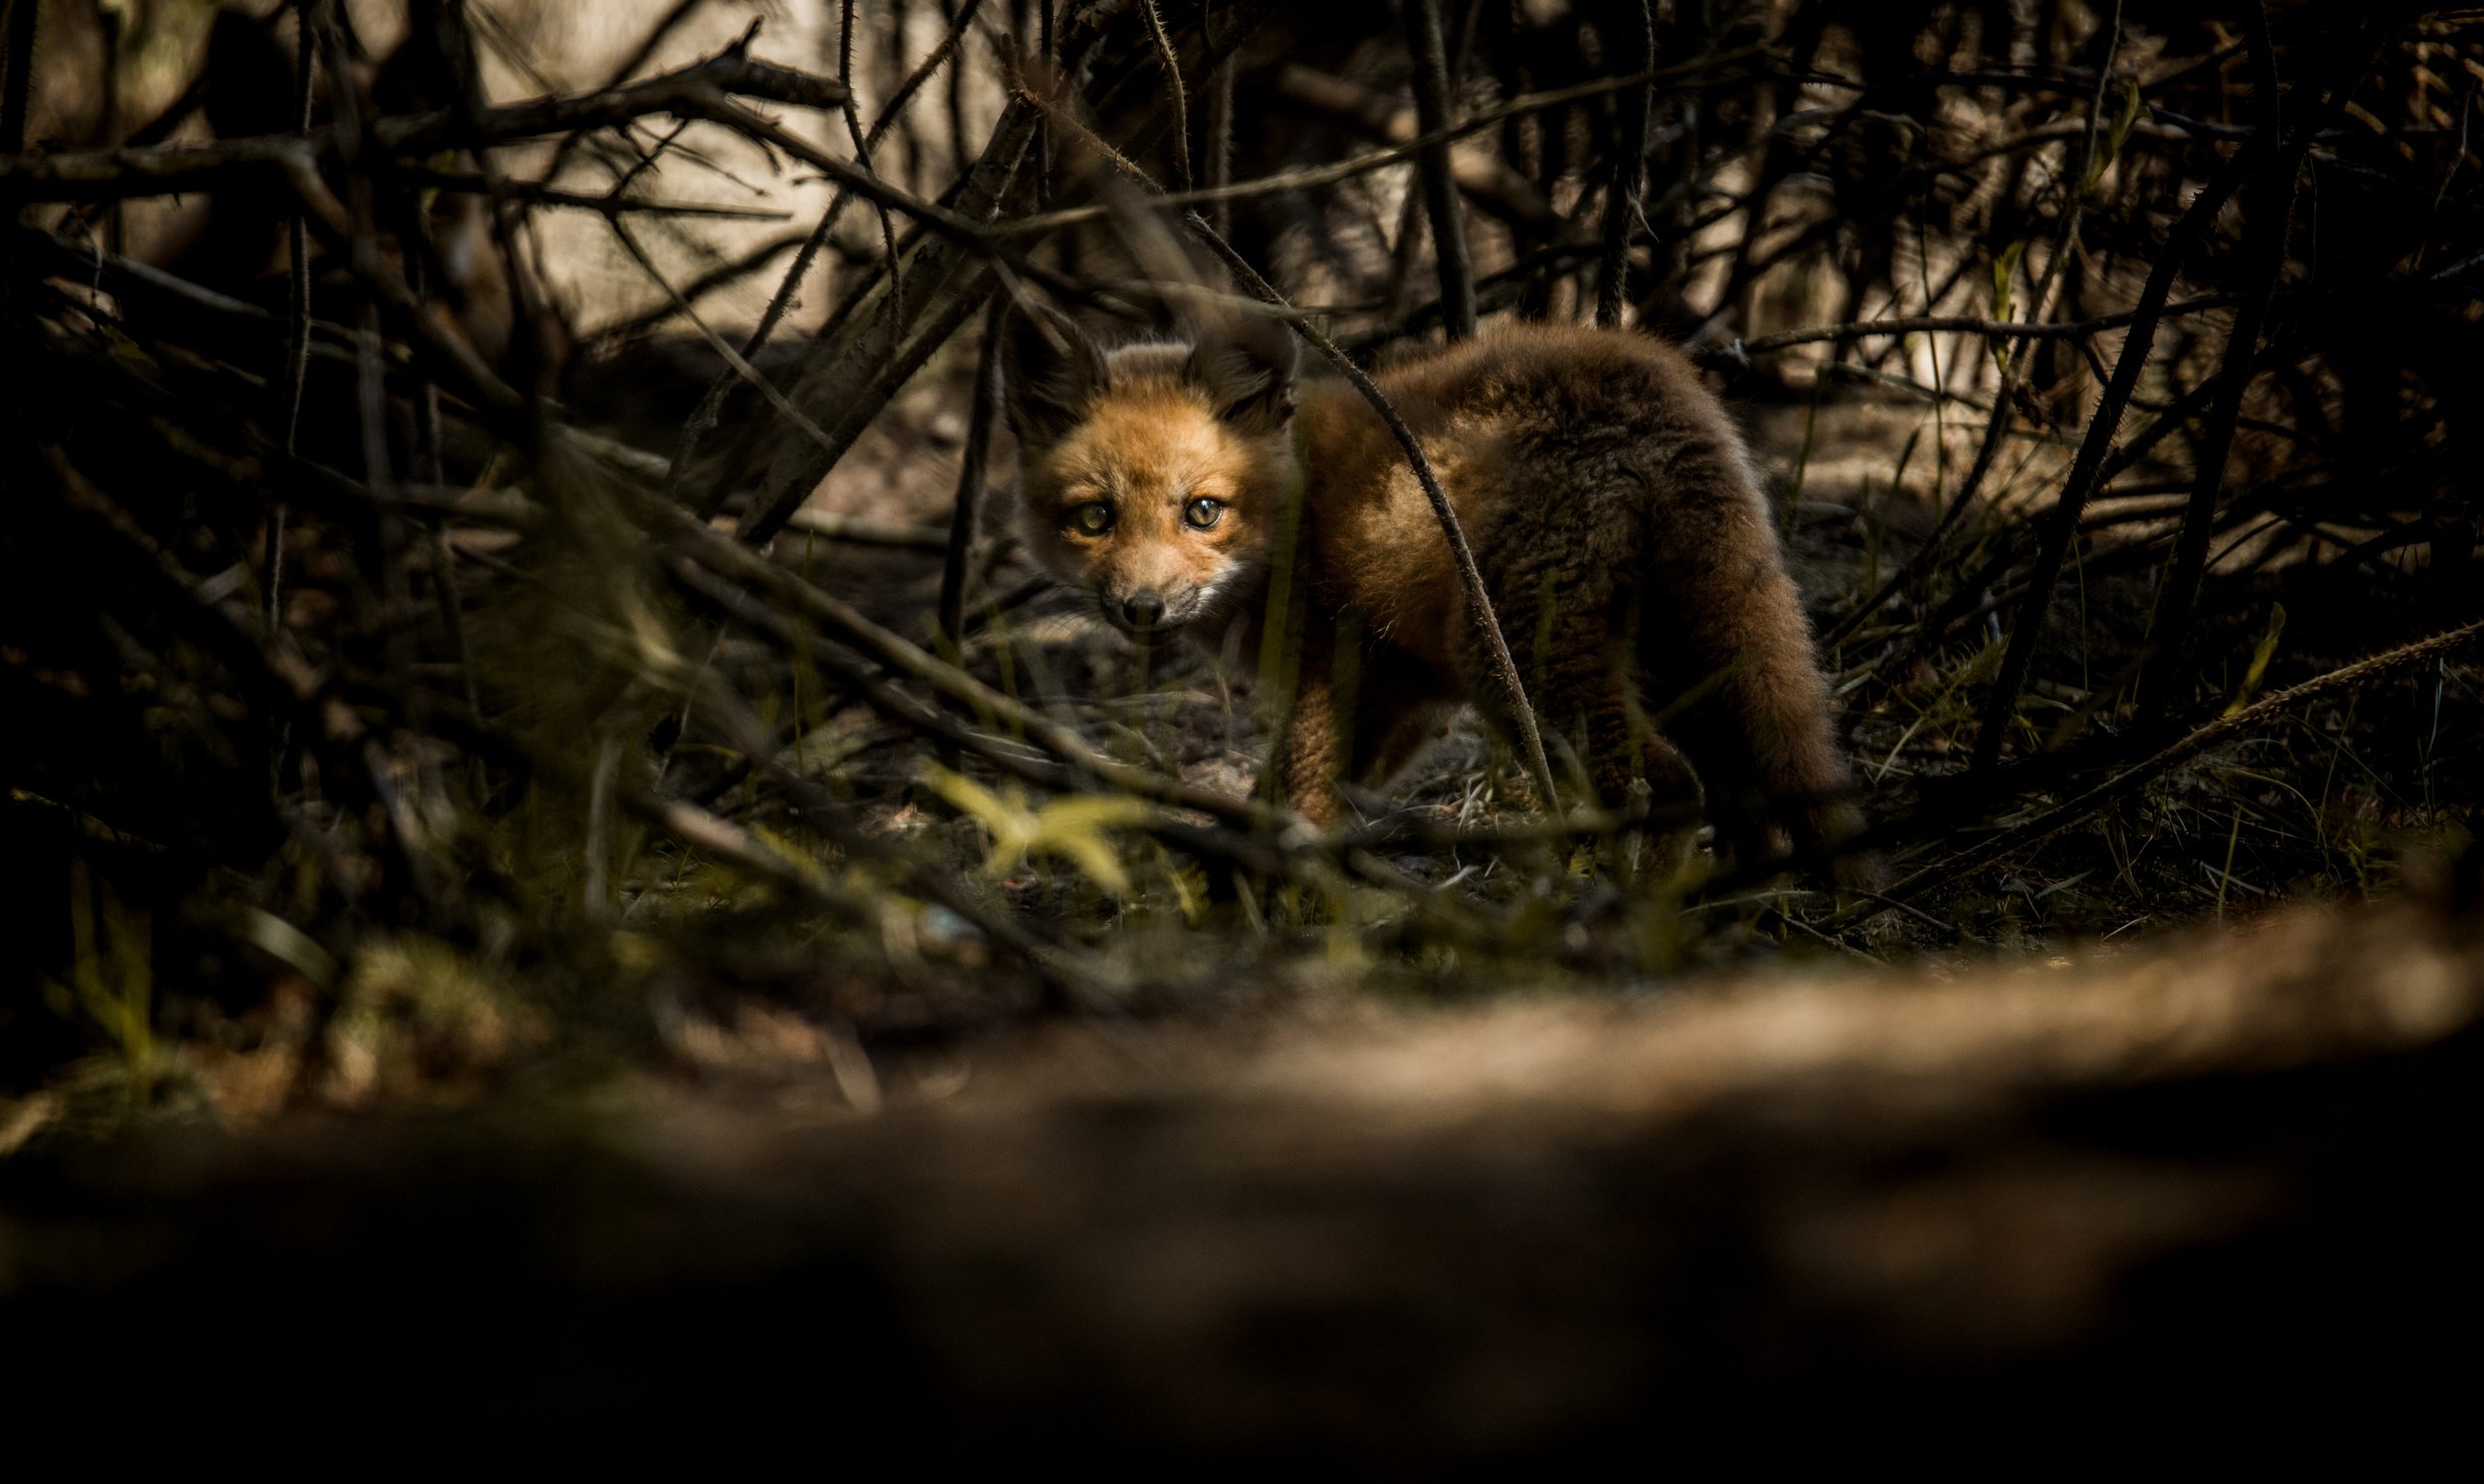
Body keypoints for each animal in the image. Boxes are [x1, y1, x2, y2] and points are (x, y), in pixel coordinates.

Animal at [1001, 306, 1864, 874]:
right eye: (1095, 517)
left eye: (1203, 511)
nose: (1142, 608)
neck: (1298, 504)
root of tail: (1657, 383)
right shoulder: (1403, 694)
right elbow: (1316, 794)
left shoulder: (1341, 669)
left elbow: (1293, 795)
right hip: (1674, 653)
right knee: (1745, 787)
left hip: (1519, 664)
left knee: (1673, 783)